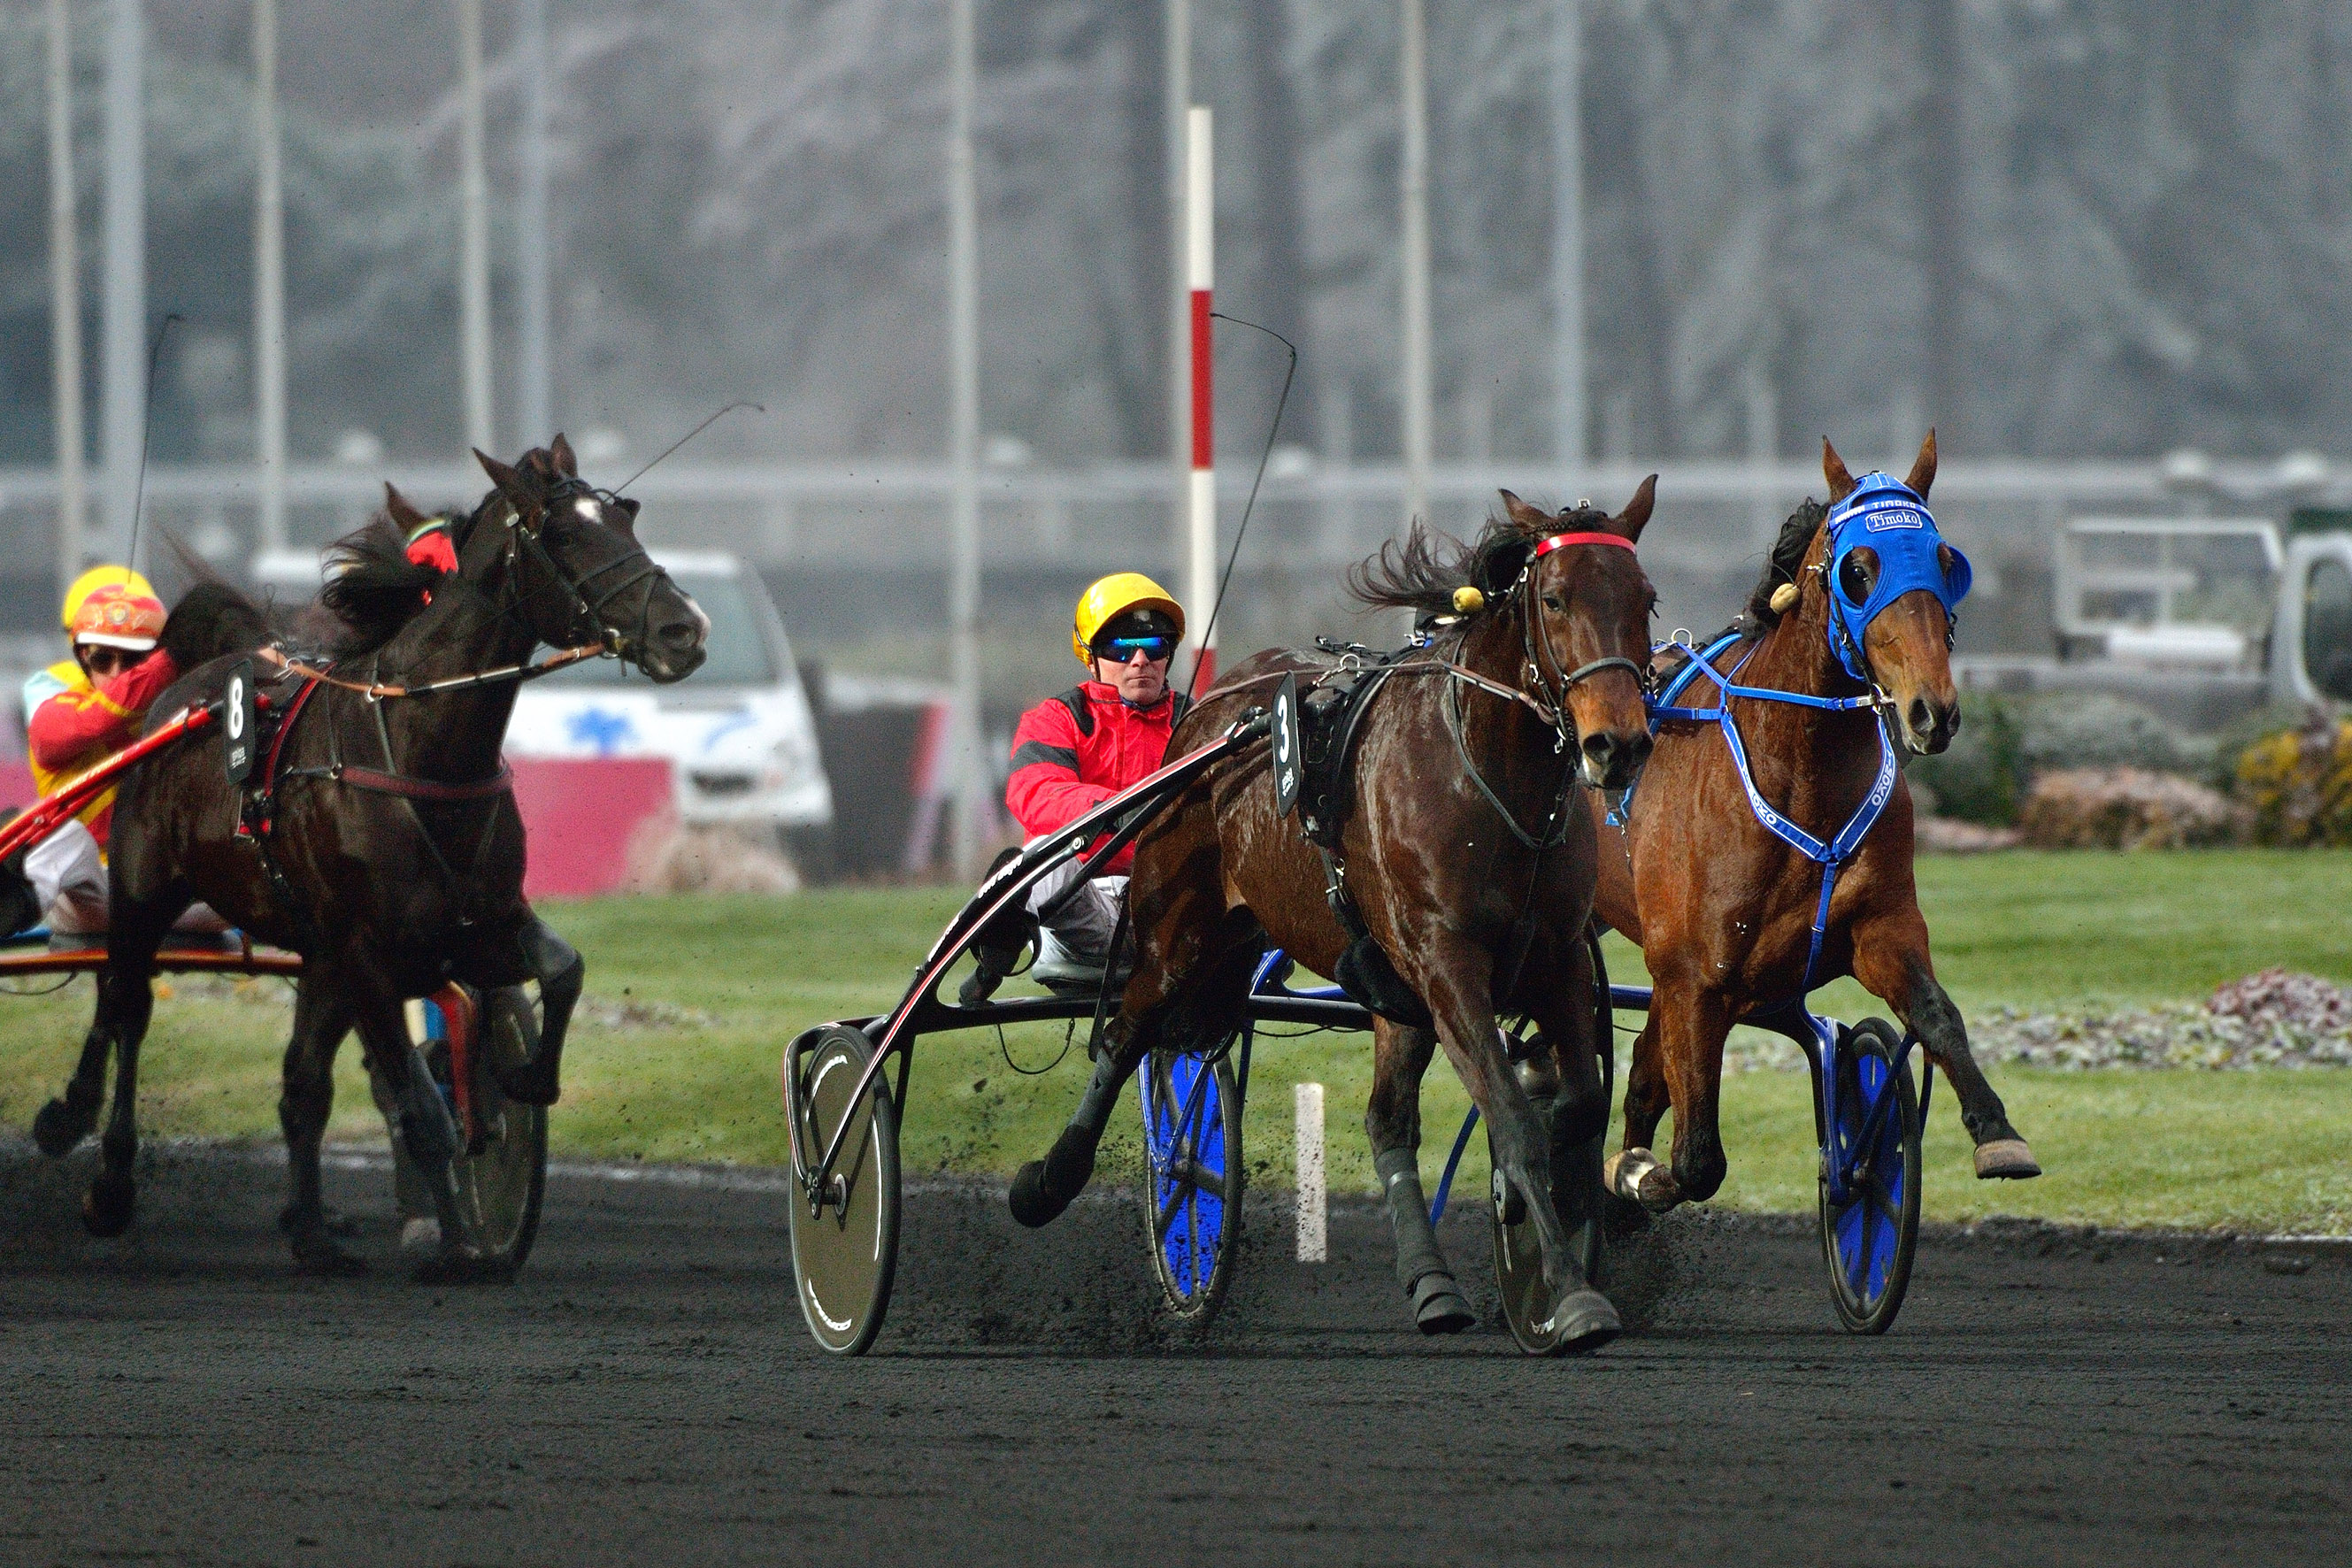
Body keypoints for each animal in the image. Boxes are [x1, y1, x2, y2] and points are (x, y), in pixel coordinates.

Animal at [29, 439, 705, 1279]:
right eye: (562, 536)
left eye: (623, 518)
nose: (682, 631)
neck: (422, 751)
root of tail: (189, 692)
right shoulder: (370, 952)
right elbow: (422, 1110)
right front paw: (457, 1244)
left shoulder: (476, 920)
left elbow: (561, 969)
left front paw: (523, 1077)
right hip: (144, 889)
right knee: (125, 1003)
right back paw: (105, 1173)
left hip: (316, 954)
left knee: (299, 1086)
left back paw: (313, 1233)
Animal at [1006, 484, 1656, 1354]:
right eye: (1554, 600)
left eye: (1645, 600)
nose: (1617, 745)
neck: (1490, 780)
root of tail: (1213, 713)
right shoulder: (1448, 963)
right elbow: (1515, 1119)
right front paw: (1572, 1296)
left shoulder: (1553, 958)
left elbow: (1576, 1106)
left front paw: (1541, 1213)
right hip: (1178, 928)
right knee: (1126, 1032)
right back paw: (1051, 1181)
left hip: (1389, 991)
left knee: (1387, 1121)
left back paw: (1433, 1286)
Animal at [1599, 430, 2041, 1212]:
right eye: (1858, 570)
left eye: (1945, 561)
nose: (1933, 711)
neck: (1800, 773)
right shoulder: (1695, 976)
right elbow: (1697, 1159)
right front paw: (1640, 1174)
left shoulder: (1880, 925)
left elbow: (1936, 1014)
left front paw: (1996, 1131)